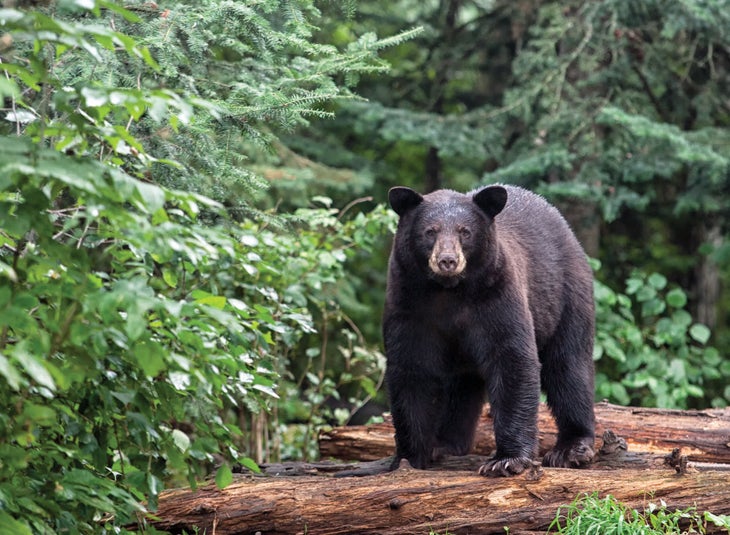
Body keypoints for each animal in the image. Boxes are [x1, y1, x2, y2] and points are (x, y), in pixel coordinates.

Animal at [383, 184, 595, 477]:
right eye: (430, 231)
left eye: (465, 231)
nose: (447, 260)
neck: (448, 291)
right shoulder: (408, 303)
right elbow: (411, 369)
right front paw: (409, 457)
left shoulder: (495, 295)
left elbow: (512, 358)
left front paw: (506, 459)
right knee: (460, 385)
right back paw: (445, 444)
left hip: (566, 297)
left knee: (569, 366)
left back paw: (571, 448)